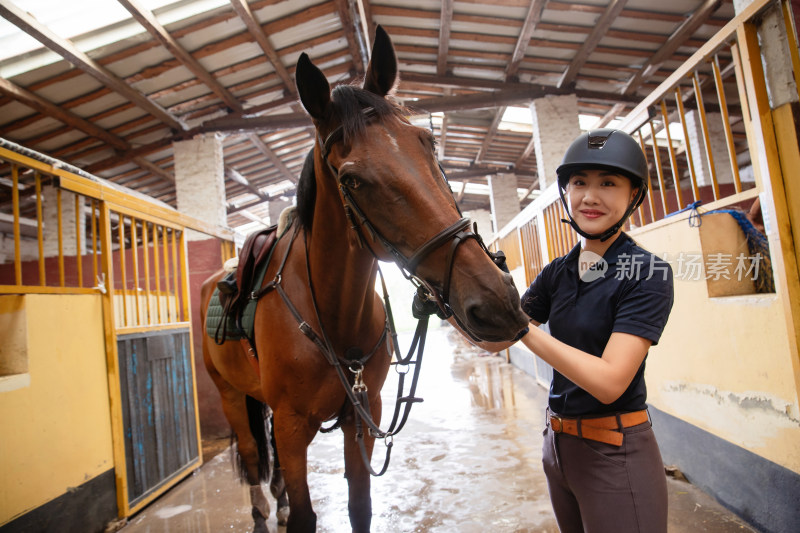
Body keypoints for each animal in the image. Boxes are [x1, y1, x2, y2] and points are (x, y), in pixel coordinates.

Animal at [198, 26, 532, 532]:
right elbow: (304, 515)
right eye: (352, 180)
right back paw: (261, 512)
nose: (497, 301)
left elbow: (360, 505)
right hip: (231, 396)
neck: (334, 315)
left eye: (427, 144)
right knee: (255, 458)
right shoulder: (293, 427)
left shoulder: (364, 413)